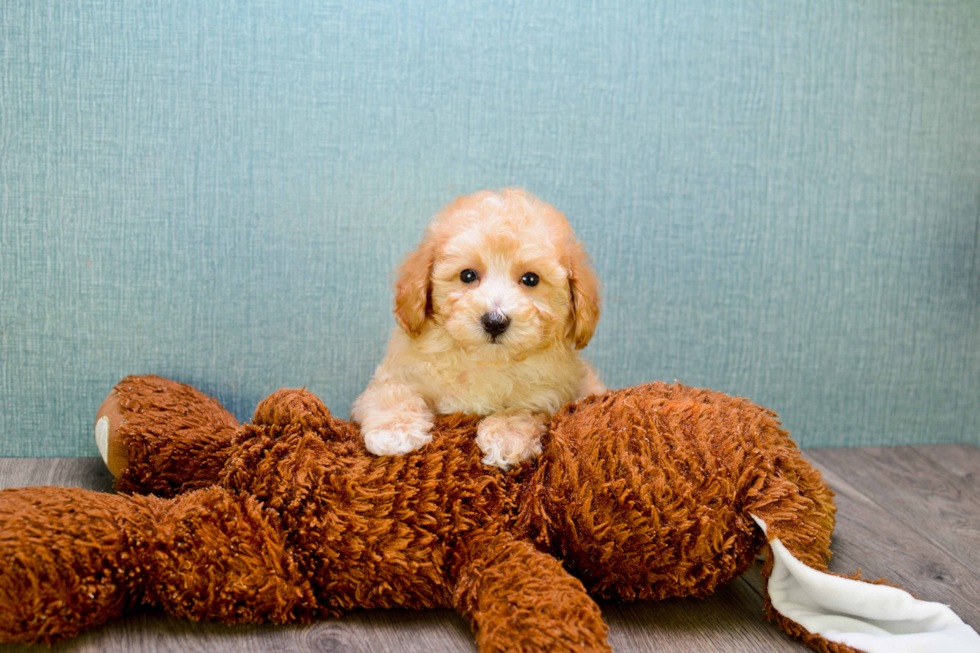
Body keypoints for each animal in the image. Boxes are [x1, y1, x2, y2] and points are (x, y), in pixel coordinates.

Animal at [348, 188, 600, 468]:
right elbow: (391, 391)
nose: (495, 321)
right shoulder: (398, 371)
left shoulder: (551, 395)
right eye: (467, 275)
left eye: (531, 279)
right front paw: (394, 430)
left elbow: (523, 408)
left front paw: (507, 435)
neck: (485, 361)